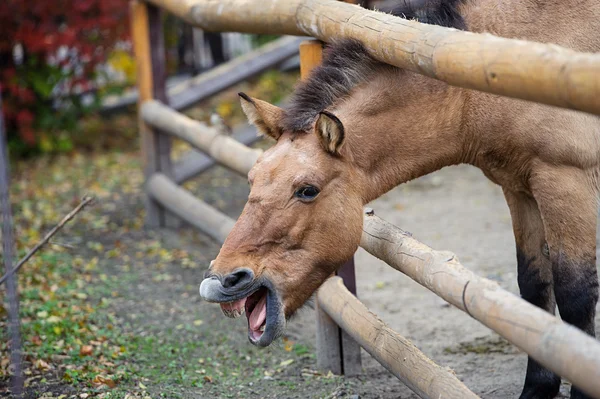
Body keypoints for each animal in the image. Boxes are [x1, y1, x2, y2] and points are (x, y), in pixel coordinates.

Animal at [200, 1, 600, 398]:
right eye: (252, 178)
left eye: (307, 190)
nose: (223, 280)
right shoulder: (519, 188)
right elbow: (534, 288)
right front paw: (537, 388)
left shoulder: (567, 181)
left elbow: (575, 295)